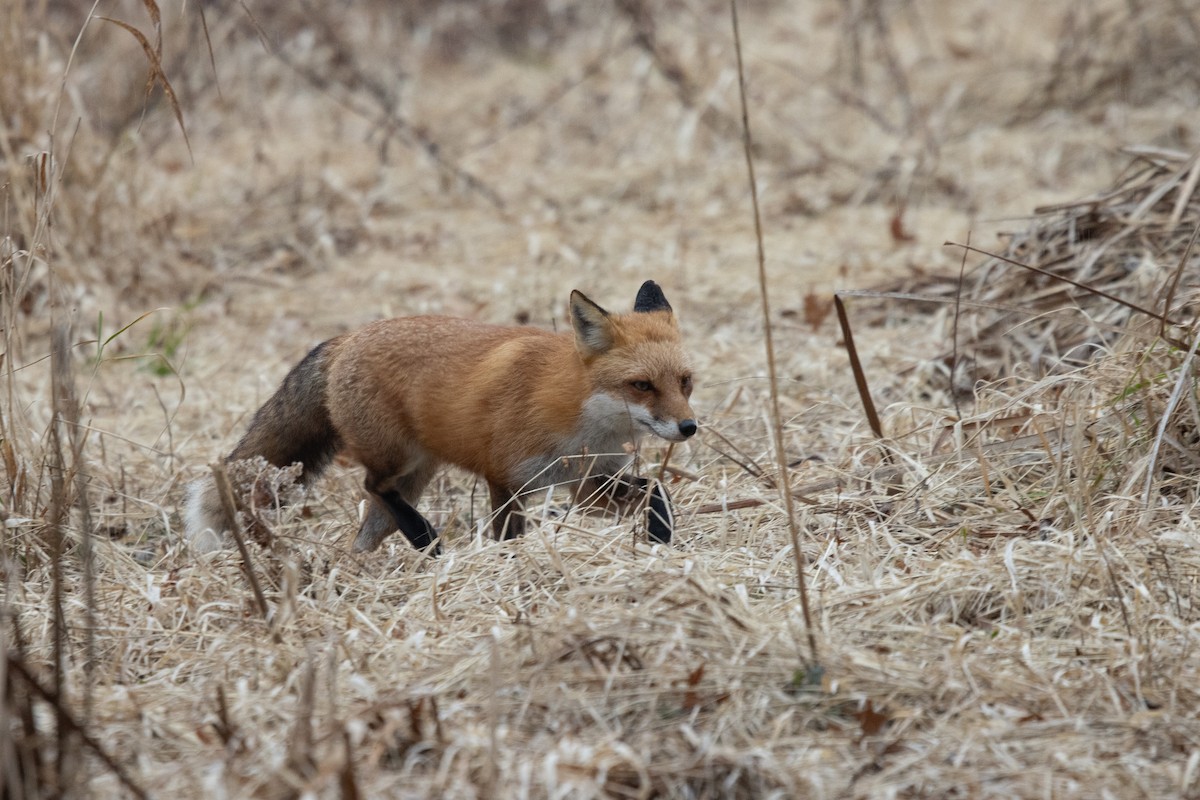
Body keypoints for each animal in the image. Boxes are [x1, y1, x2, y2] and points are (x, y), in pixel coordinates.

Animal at [185, 280, 698, 555]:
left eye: (685, 382)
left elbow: (657, 490)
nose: (689, 427)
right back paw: (423, 536)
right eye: (641, 385)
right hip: (397, 459)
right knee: (373, 485)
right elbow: (506, 537)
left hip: (416, 475)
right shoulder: (507, 478)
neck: (578, 419)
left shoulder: (587, 483)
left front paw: (661, 537)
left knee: (367, 528)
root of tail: (347, 338)